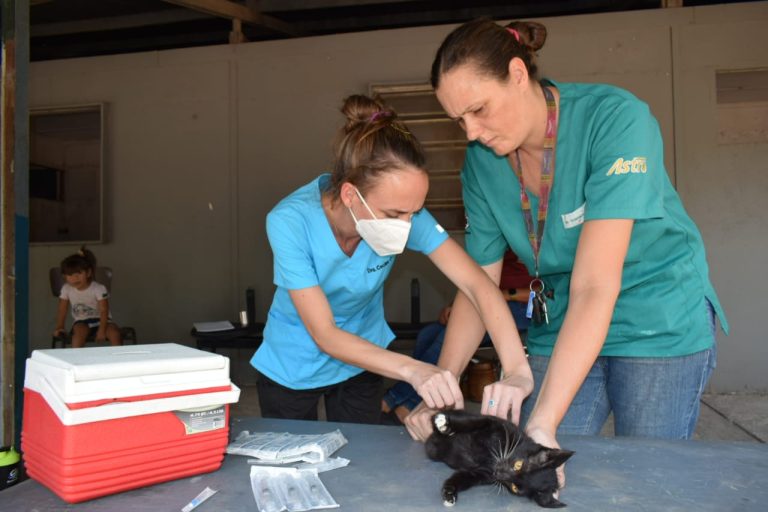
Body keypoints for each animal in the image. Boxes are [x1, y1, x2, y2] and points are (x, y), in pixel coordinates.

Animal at [425, 410, 574, 508]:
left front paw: (449, 493)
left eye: (514, 488)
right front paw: (445, 425)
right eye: (518, 465)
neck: (492, 458)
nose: (497, 473)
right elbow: (473, 421)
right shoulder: (496, 423)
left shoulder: (481, 474)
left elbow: (462, 478)